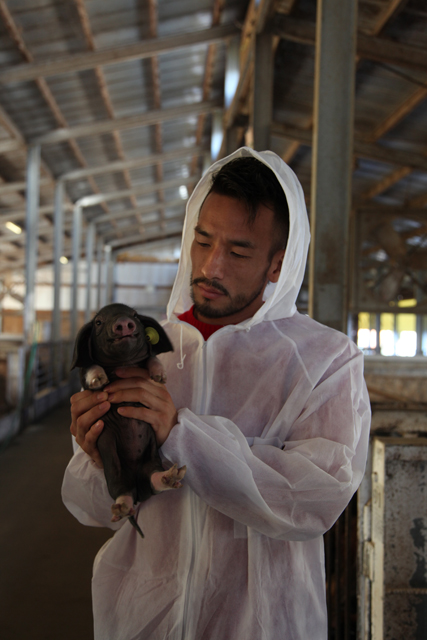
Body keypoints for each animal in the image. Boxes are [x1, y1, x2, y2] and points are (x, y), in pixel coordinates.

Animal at [71, 303, 186, 538]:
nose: (123, 322)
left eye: (135, 315)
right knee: (122, 490)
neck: (122, 362)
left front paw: (160, 377)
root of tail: (137, 484)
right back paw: (121, 508)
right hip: (114, 471)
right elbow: (89, 367)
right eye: (98, 321)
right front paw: (99, 379)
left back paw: (172, 476)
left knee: (153, 482)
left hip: (151, 462)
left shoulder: (146, 358)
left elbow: (152, 357)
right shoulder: (83, 376)